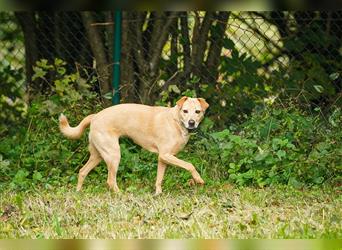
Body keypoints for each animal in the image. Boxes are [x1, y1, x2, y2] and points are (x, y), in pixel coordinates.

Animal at [58, 96, 208, 194]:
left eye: (197, 111)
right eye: (185, 111)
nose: (191, 123)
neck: (176, 121)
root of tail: (95, 116)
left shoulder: (163, 158)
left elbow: (159, 179)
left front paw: (158, 194)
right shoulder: (166, 155)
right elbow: (190, 165)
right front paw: (198, 179)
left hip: (98, 155)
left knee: (82, 171)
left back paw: (78, 192)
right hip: (113, 155)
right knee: (110, 180)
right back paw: (120, 195)